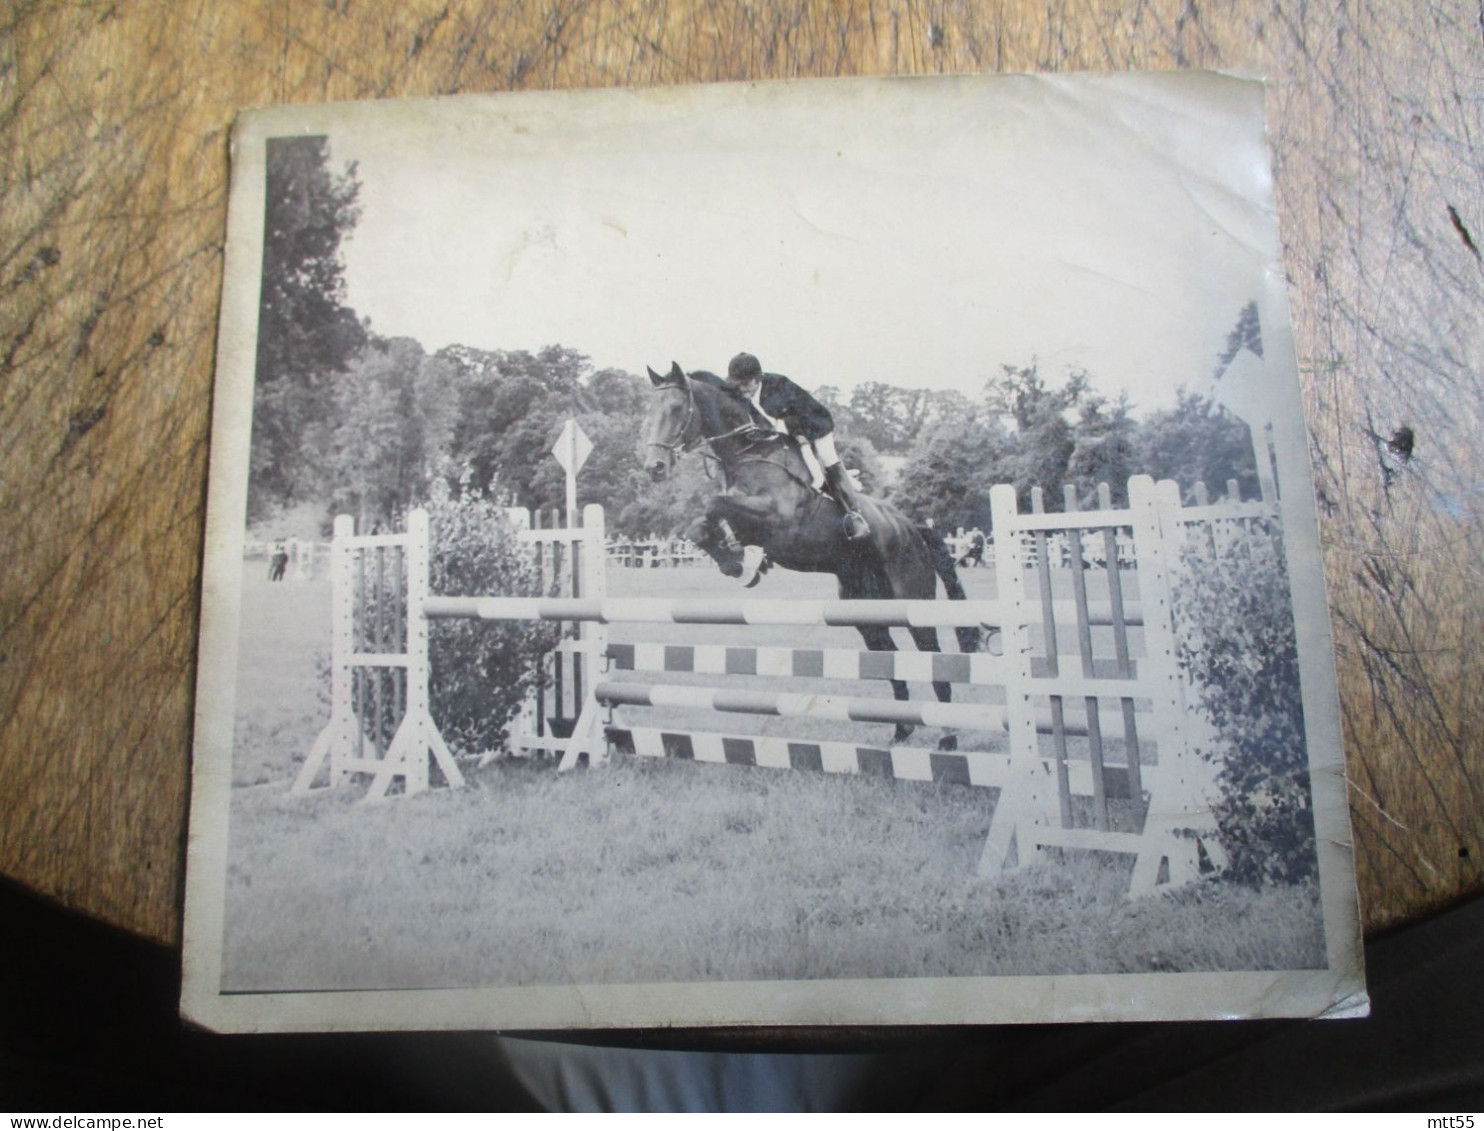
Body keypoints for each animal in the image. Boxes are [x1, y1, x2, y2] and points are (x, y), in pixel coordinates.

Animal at [641, 363, 979, 748]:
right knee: (889, 657)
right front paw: (736, 560)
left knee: (932, 655)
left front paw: (741, 560)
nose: (654, 467)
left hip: (913, 603)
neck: (748, 450)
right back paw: (901, 731)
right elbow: (701, 525)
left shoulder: (779, 519)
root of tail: (913, 528)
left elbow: (715, 504)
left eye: (676, 409)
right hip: (866, 612)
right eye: (651, 411)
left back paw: (948, 737)